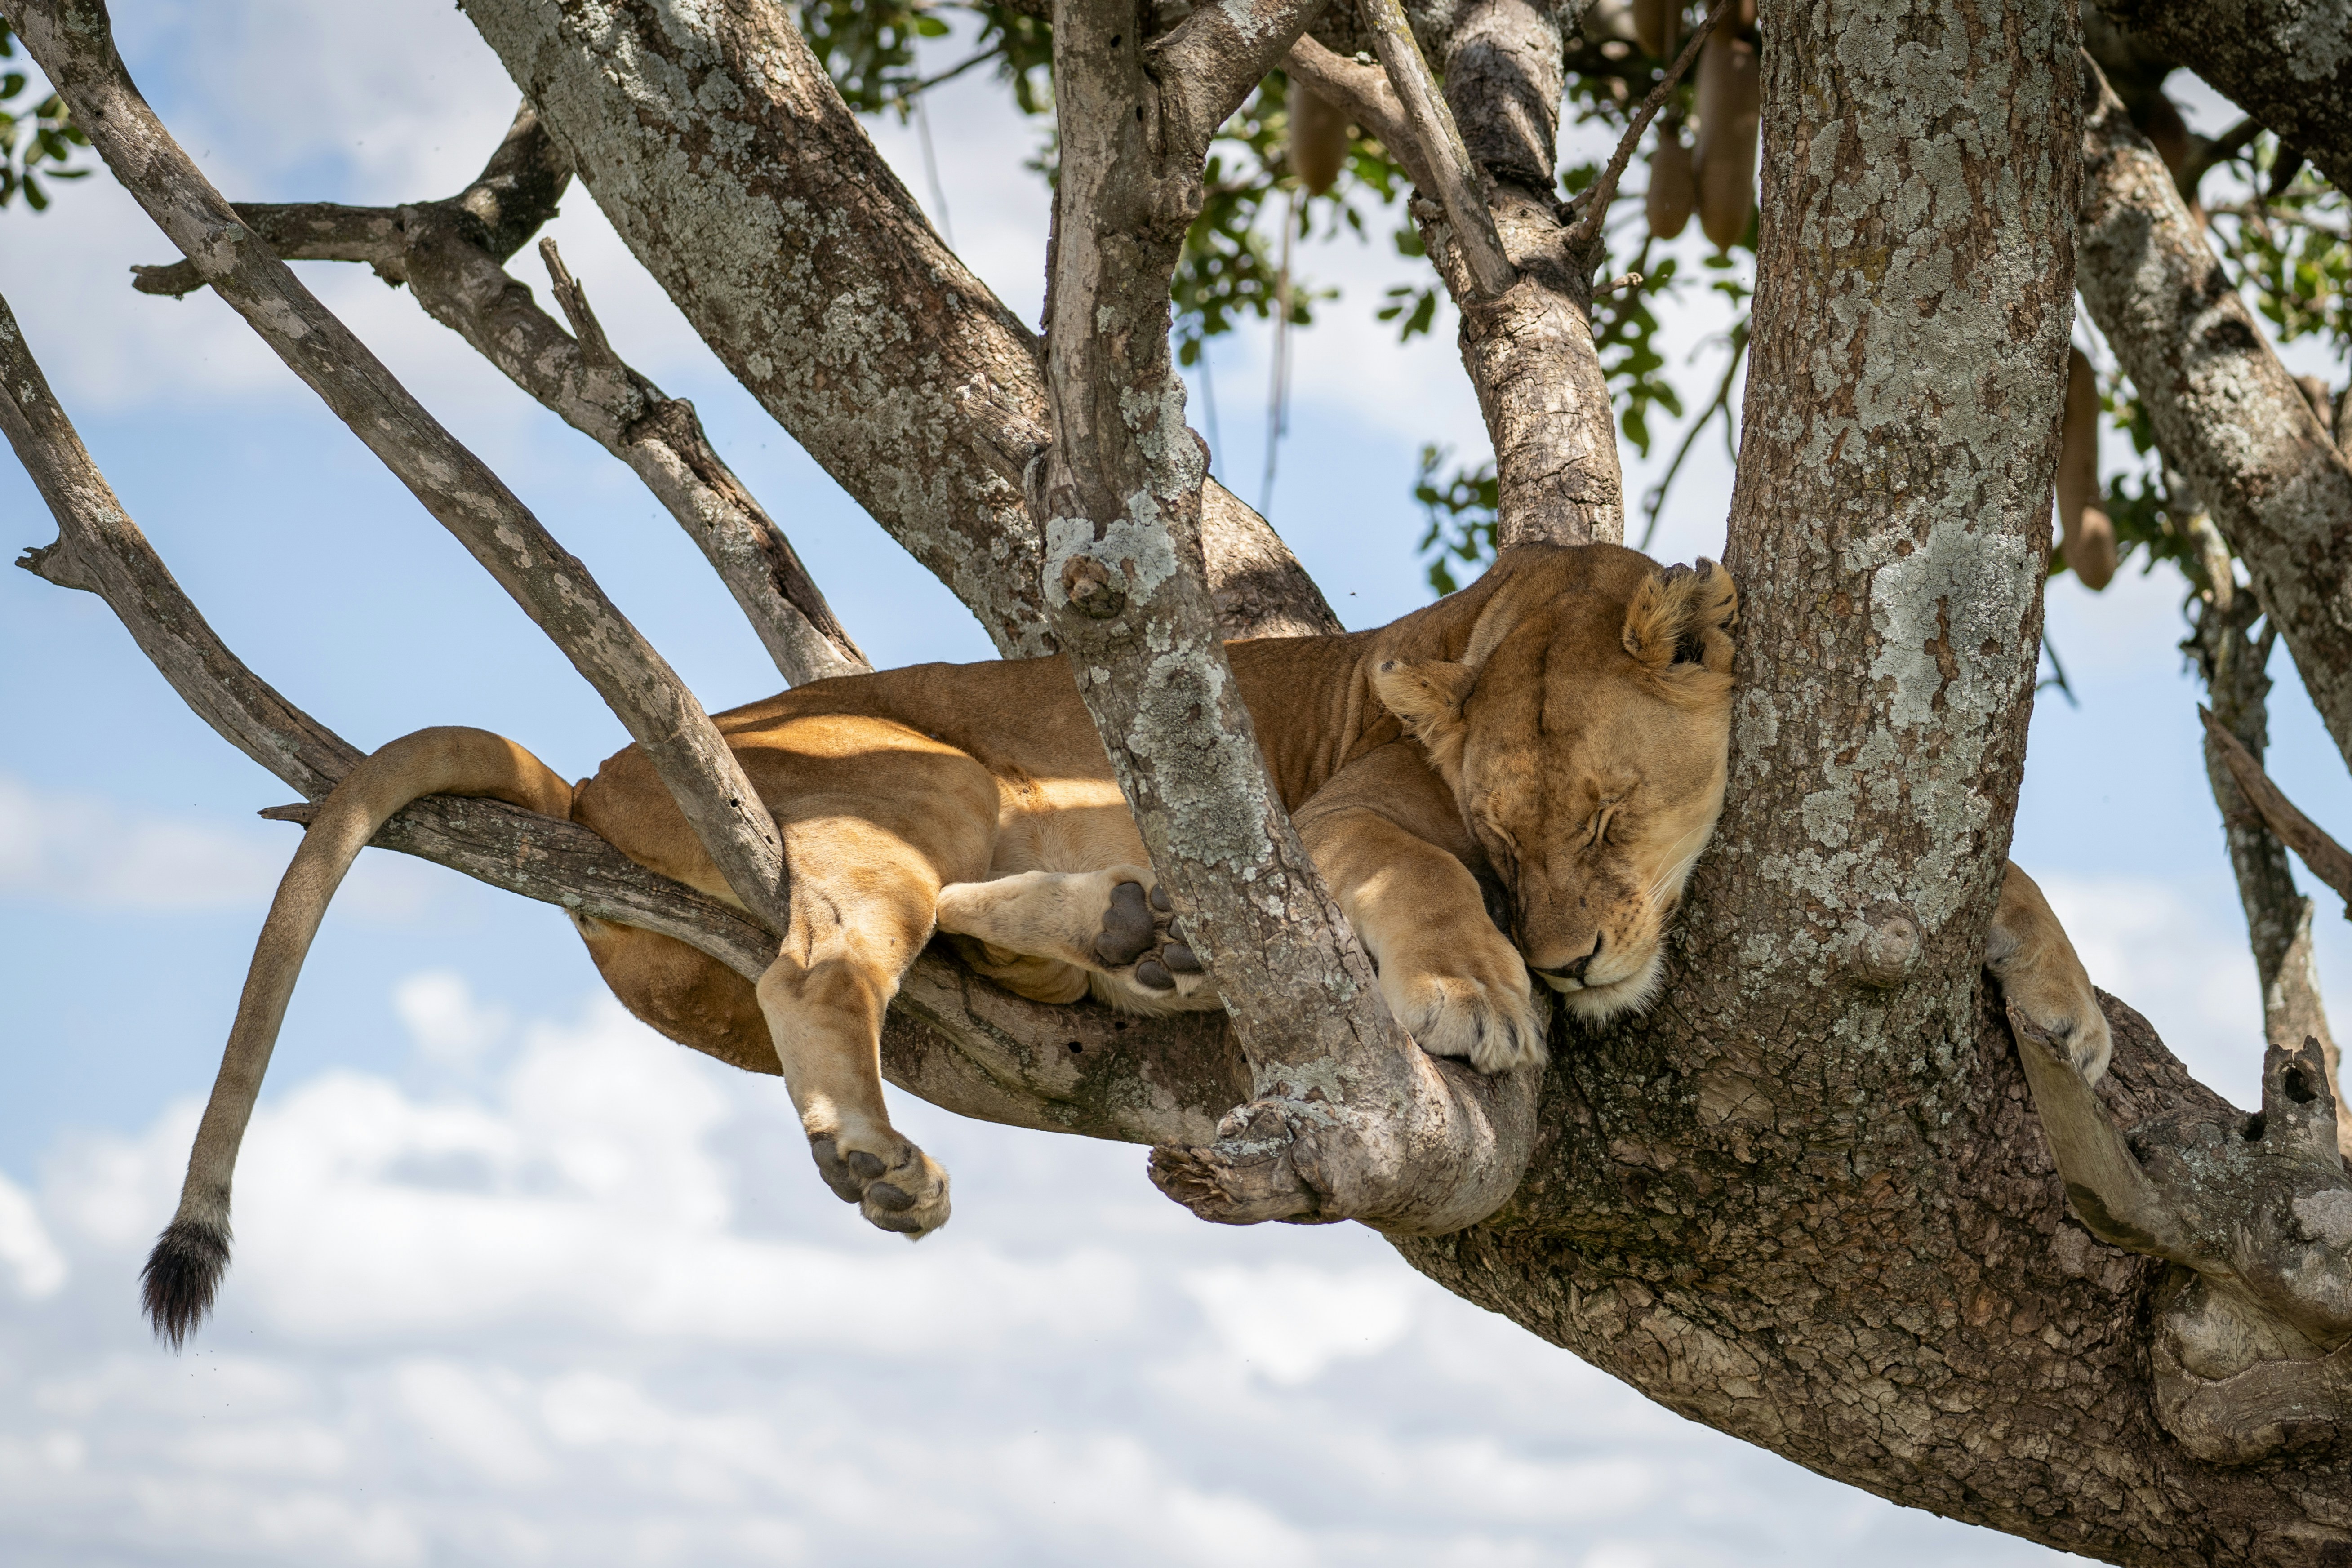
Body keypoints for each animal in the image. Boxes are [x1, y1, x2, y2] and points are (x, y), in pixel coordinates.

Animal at [139, 543, 2109, 1343]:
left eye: (1612, 813)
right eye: (1508, 832)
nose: (1566, 960)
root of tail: (603, 760)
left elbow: (2004, 876)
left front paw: (2070, 1006)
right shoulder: (1352, 818)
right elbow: (1419, 889)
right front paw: (1476, 997)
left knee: (922, 942)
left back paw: (1134, 938)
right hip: (915, 770)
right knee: (823, 954)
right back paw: (891, 1140)